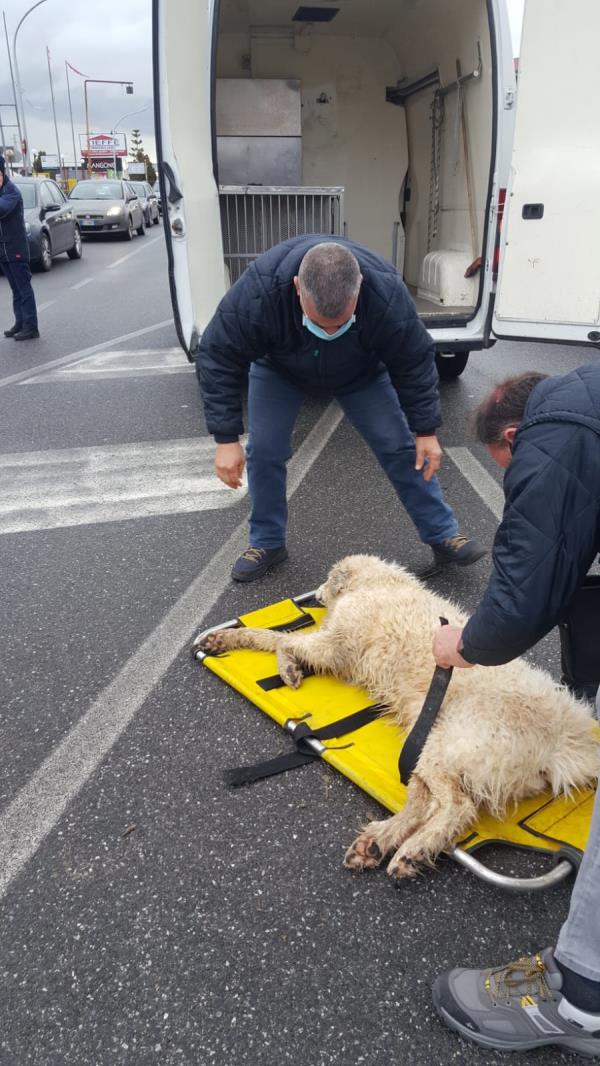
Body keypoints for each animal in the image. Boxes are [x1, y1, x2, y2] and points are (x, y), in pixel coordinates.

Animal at [198, 554, 600, 878]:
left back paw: (413, 850)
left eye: (327, 579)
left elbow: (281, 641)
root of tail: (564, 740)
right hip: (424, 743)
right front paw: (234, 645)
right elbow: (274, 638)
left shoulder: (334, 645)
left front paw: (283, 666)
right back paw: (377, 841)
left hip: (447, 747)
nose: (315, 596)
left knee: (457, 808)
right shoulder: (336, 649)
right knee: (425, 804)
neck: (377, 583)